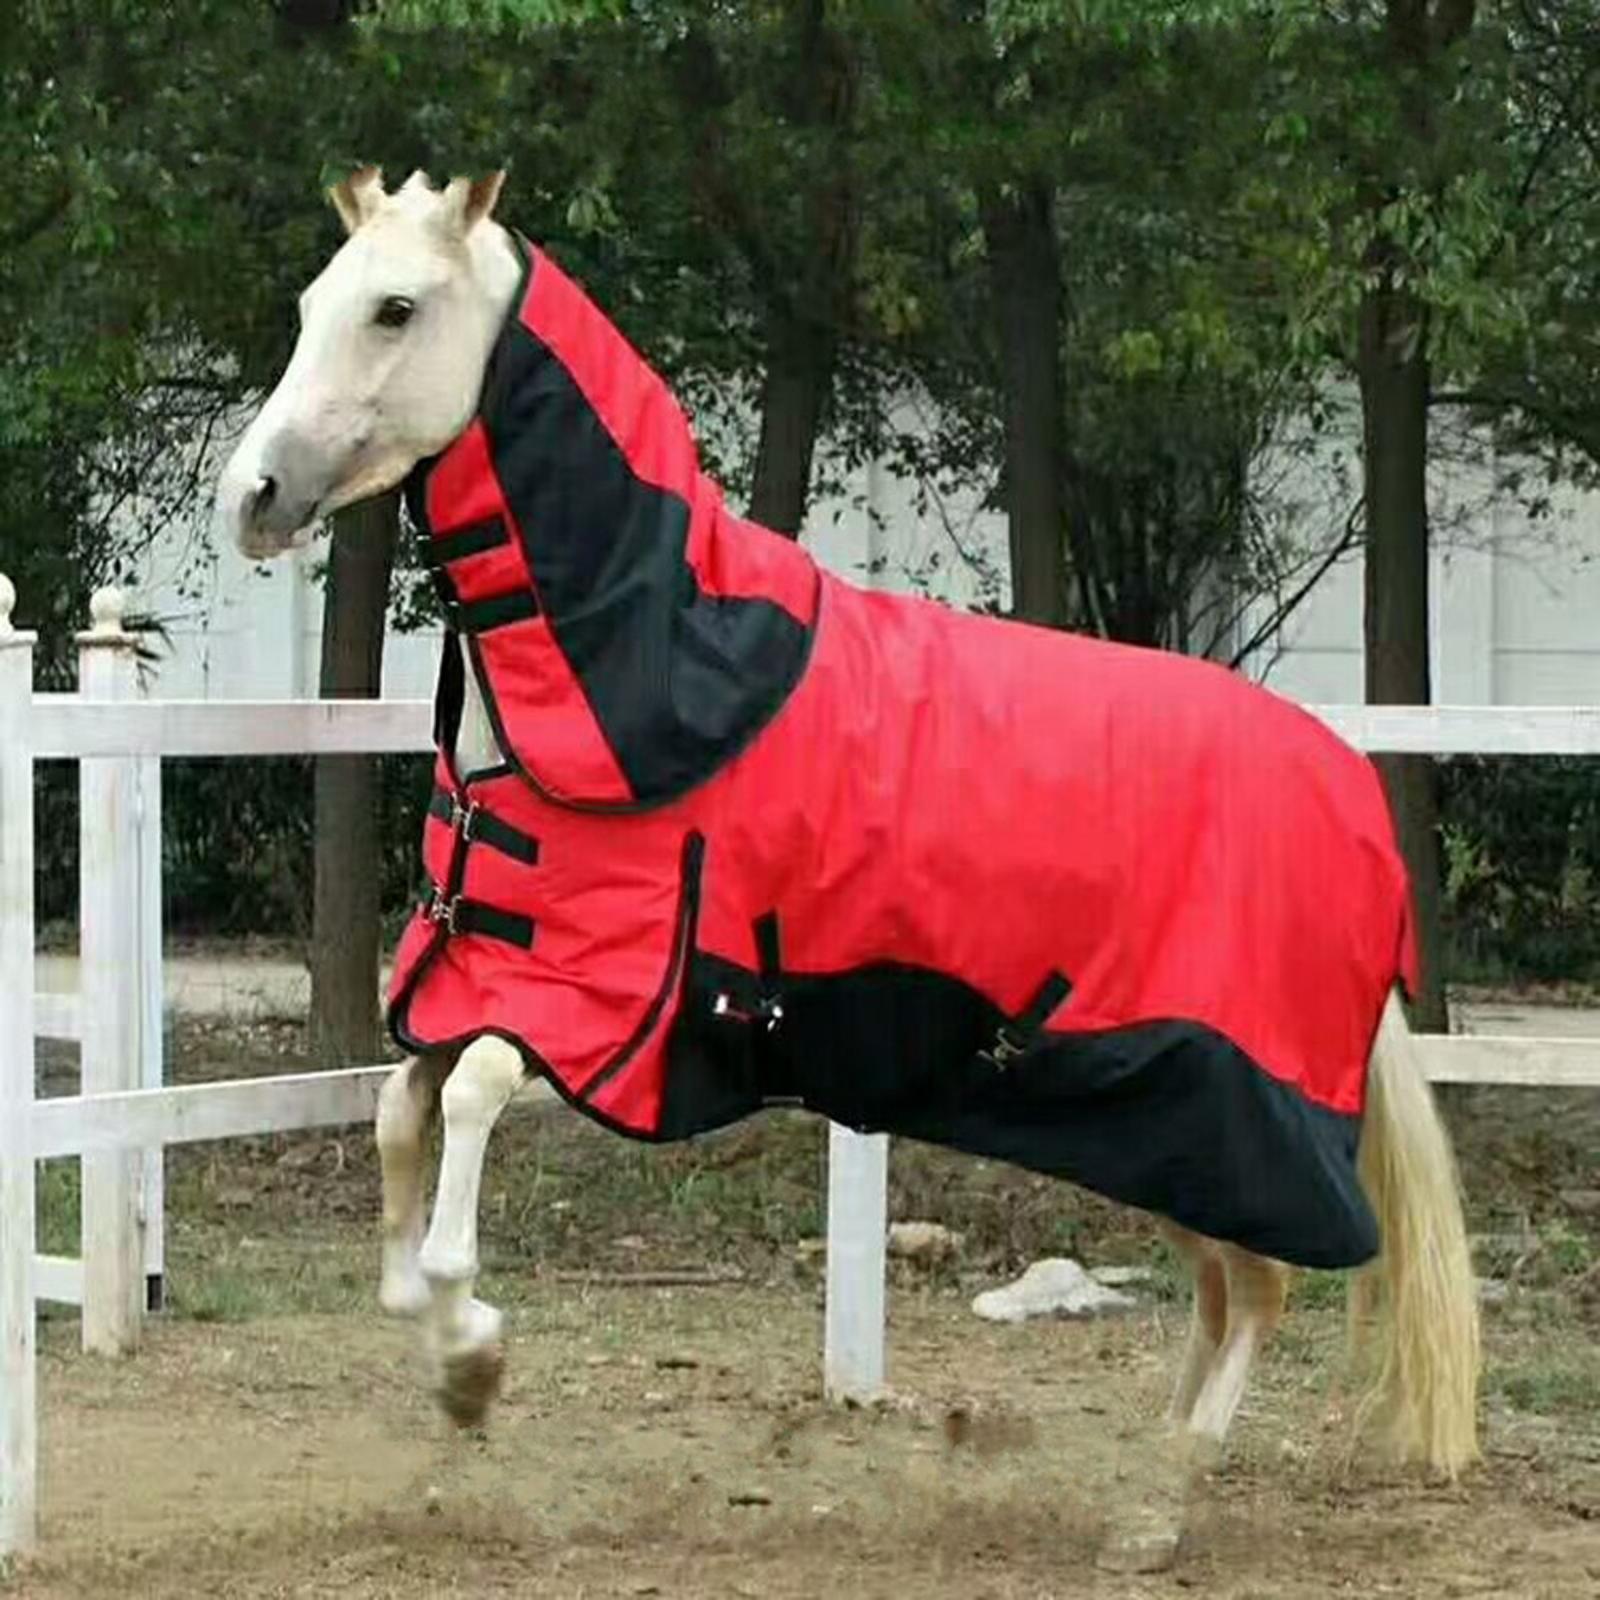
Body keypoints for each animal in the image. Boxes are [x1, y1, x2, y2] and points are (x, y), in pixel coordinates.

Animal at [214, 167, 1479, 1572]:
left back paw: (1160, 1508)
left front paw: (470, 1353)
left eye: (395, 308)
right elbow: (398, 1106)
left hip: (1219, 1107)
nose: (252, 495)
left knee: (1259, 1286)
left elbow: (475, 1102)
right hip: (1164, 1133)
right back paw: (1152, 1479)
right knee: (1223, 1290)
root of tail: (1349, 793)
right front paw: (448, 1360)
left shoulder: (601, 1006)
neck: (669, 685)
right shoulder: (486, 974)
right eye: (312, 302)